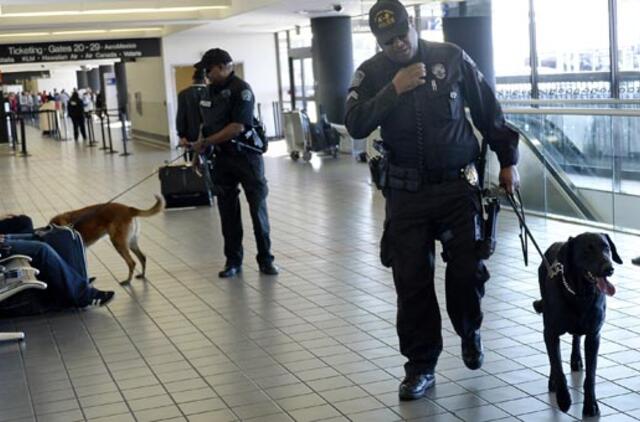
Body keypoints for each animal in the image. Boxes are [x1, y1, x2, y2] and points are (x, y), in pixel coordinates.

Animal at [532, 232, 624, 418]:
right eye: (586, 251)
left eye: (606, 247)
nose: (609, 268)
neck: (580, 295)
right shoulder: (550, 333)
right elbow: (557, 365)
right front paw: (564, 399)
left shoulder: (594, 336)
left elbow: (591, 376)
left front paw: (590, 406)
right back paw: (553, 381)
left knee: (576, 337)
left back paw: (576, 359)